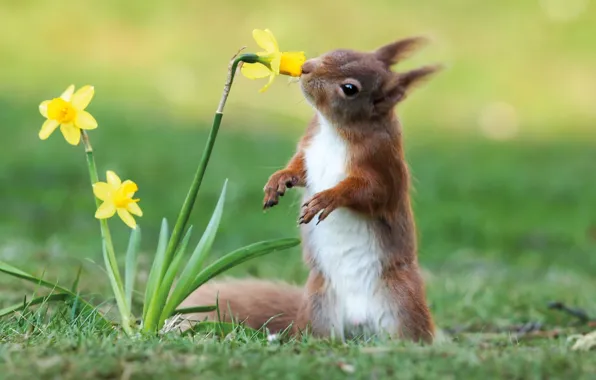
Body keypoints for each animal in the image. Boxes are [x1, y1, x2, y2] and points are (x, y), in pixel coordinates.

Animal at [179, 37, 440, 342]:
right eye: (334, 51)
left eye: (349, 89)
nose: (306, 68)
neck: (334, 129)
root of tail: (359, 326)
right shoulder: (309, 146)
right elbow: (299, 170)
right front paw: (278, 181)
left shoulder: (382, 164)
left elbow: (370, 192)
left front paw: (327, 198)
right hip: (319, 305)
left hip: (403, 303)